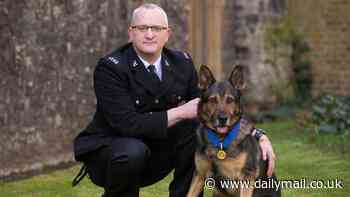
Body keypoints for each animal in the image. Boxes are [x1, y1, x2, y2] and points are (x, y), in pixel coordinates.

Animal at [186, 65, 282, 196]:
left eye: (230, 100)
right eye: (213, 100)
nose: (222, 119)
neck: (220, 140)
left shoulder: (246, 178)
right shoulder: (199, 176)